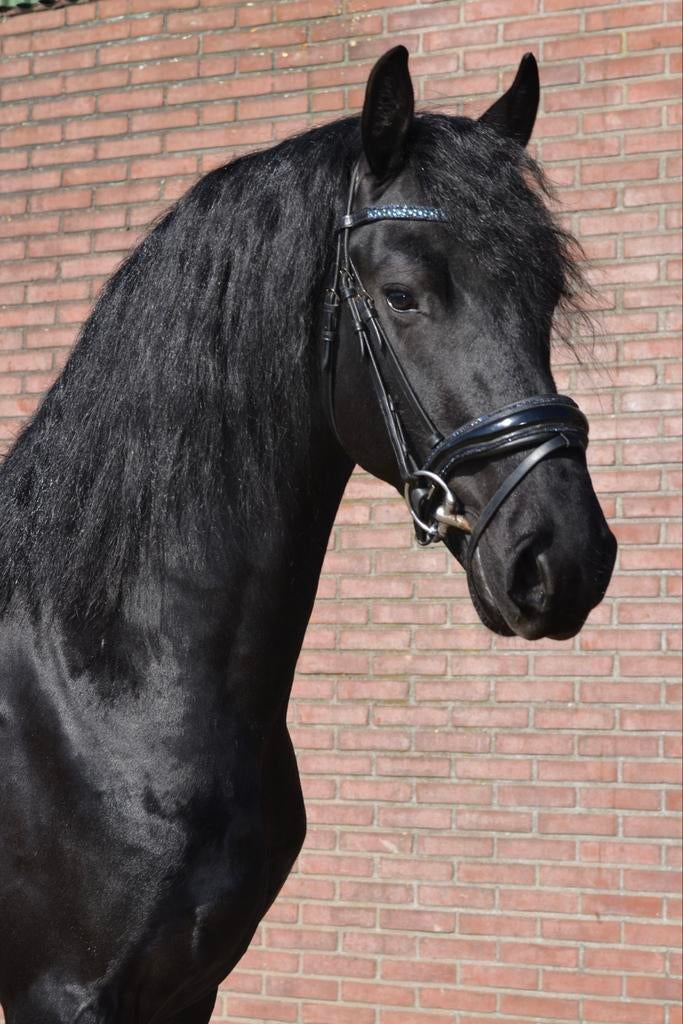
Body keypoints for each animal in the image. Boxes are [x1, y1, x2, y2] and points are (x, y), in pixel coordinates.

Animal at [0, 46, 616, 1024]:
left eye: (547, 294)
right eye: (401, 295)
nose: (565, 557)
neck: (97, 674)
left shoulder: (190, 986)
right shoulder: (59, 992)